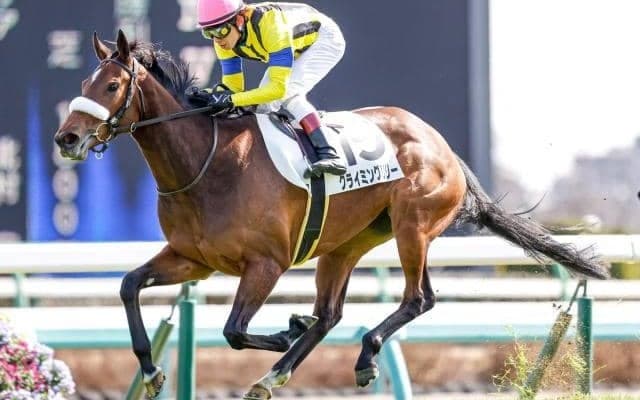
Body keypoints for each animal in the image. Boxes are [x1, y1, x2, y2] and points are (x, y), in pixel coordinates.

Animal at [54, 30, 609, 400]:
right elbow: (129, 285)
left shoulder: (266, 264)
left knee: (418, 298)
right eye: (84, 79)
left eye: (110, 87)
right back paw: (282, 369)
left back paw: (355, 354)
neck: (206, 163)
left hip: (413, 227)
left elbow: (234, 330)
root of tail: (441, 145)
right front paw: (150, 372)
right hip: (345, 244)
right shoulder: (194, 259)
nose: (67, 138)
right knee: (329, 313)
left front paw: (282, 330)